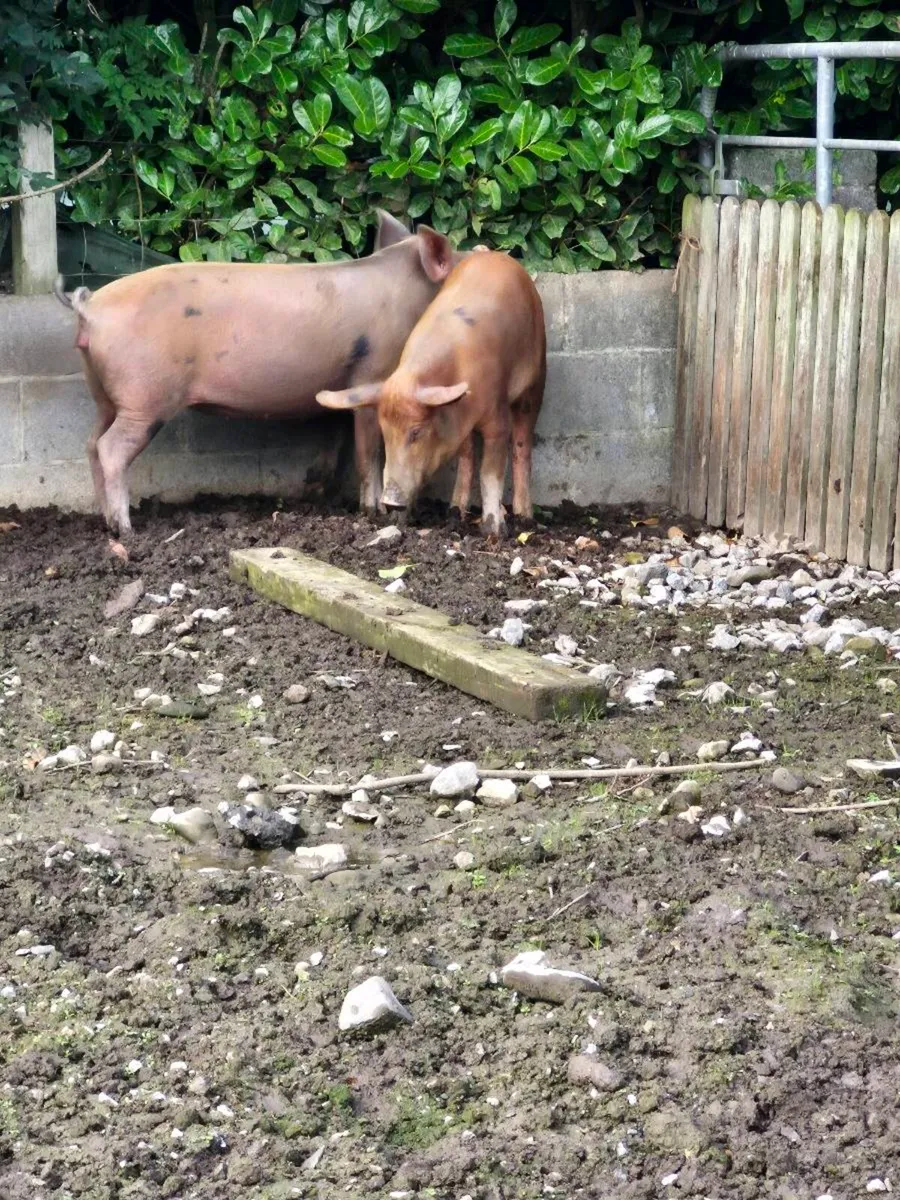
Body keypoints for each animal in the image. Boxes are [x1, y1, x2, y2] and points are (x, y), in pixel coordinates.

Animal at [53, 211, 465, 534]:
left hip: (103, 391)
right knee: (110, 448)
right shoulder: (371, 371)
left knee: (91, 444)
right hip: (145, 396)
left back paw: (105, 520)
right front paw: (375, 512)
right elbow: (370, 449)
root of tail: (91, 307)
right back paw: (124, 529)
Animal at [315, 249, 545, 538]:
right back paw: (455, 512)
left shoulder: (497, 415)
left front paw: (494, 531)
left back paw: (524, 519)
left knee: (522, 445)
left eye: (416, 432)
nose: (390, 500)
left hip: (536, 381)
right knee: (467, 454)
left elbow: (490, 472)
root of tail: (492, 254)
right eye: (384, 433)